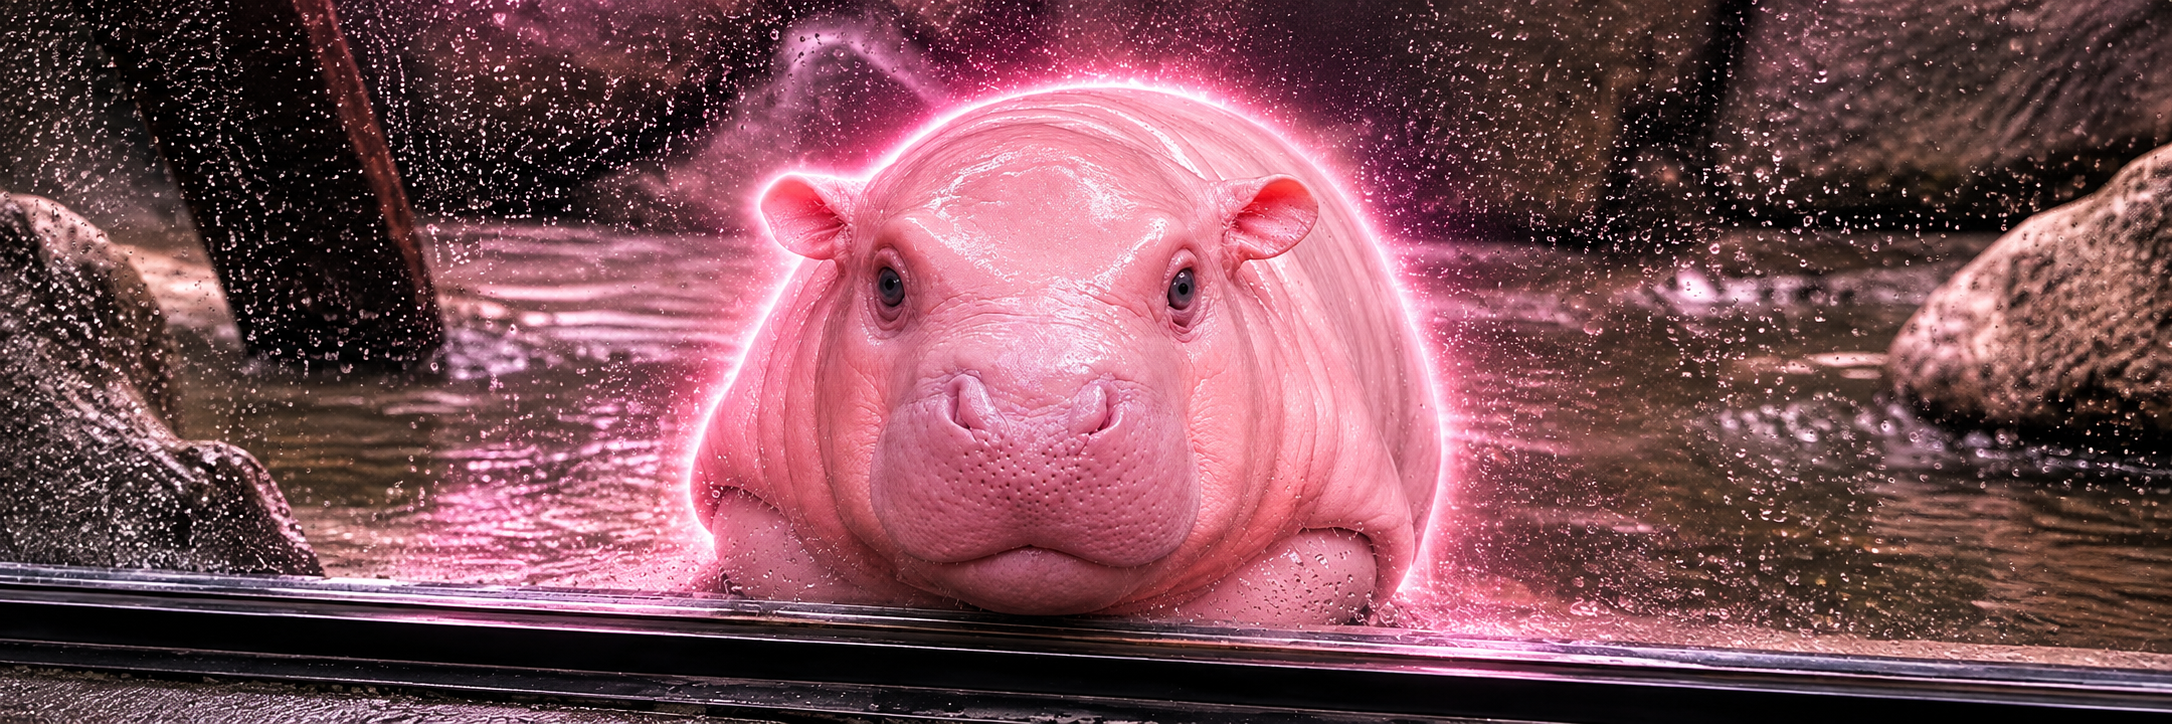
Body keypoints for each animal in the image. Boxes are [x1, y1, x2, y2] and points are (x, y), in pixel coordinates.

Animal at [692, 87, 1445, 624]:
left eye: (1184, 284)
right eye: (887, 283)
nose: (1032, 428)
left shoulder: (1341, 520)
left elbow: (1277, 592)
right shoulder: (755, 496)